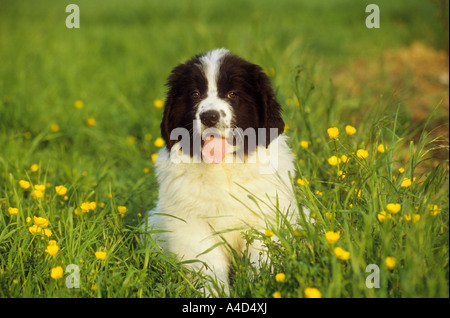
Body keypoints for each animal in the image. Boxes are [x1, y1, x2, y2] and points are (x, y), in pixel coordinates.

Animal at [148, 48, 306, 294]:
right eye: (195, 94)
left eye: (233, 94)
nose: (209, 116)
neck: (224, 166)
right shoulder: (192, 223)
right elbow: (208, 265)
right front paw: (214, 292)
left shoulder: (265, 215)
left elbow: (261, 259)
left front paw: (261, 286)